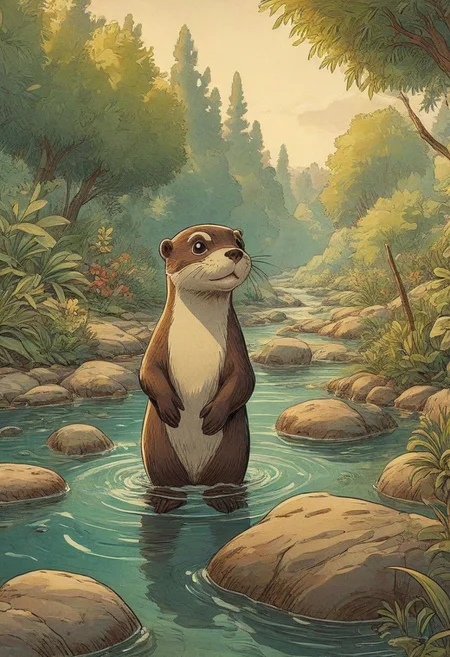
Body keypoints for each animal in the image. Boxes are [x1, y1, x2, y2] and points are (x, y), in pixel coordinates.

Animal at [139, 224, 255, 514]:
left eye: (239, 242)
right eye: (199, 246)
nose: (235, 252)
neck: (197, 338)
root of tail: (194, 480)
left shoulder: (237, 348)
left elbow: (244, 379)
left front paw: (213, 416)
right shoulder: (158, 342)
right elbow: (147, 372)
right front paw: (170, 408)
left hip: (233, 452)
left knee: (224, 478)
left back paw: (224, 499)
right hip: (159, 452)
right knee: (166, 479)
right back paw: (165, 500)